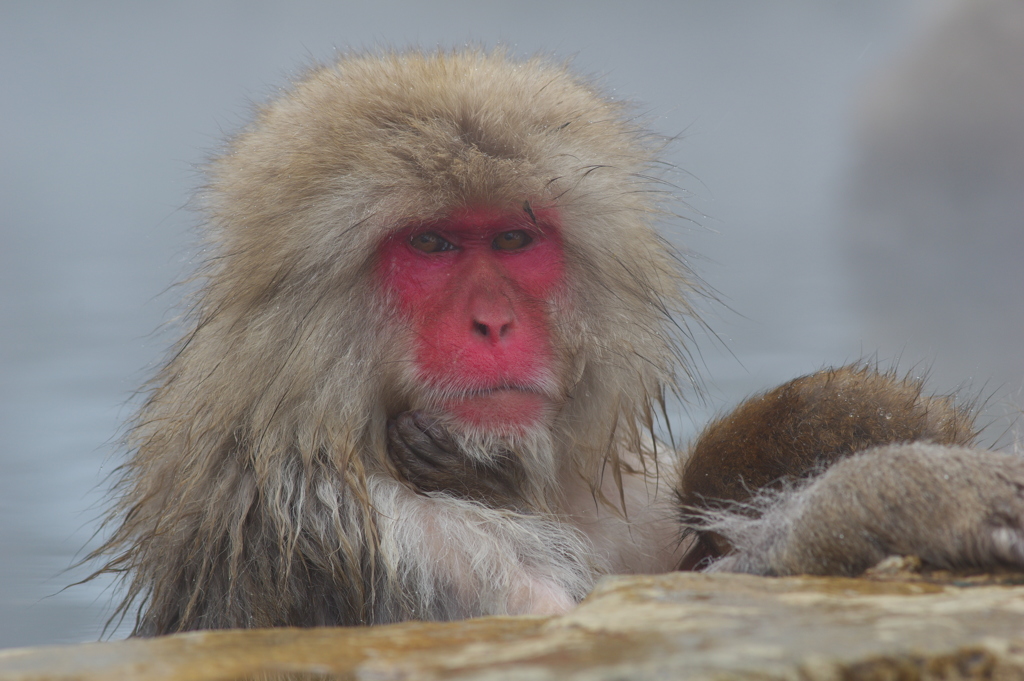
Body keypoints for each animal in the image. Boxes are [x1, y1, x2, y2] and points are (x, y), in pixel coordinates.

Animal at [90, 49, 1024, 639]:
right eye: (431, 245)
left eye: (512, 240)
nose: (493, 324)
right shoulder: (388, 533)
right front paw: (903, 493)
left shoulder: (636, 486)